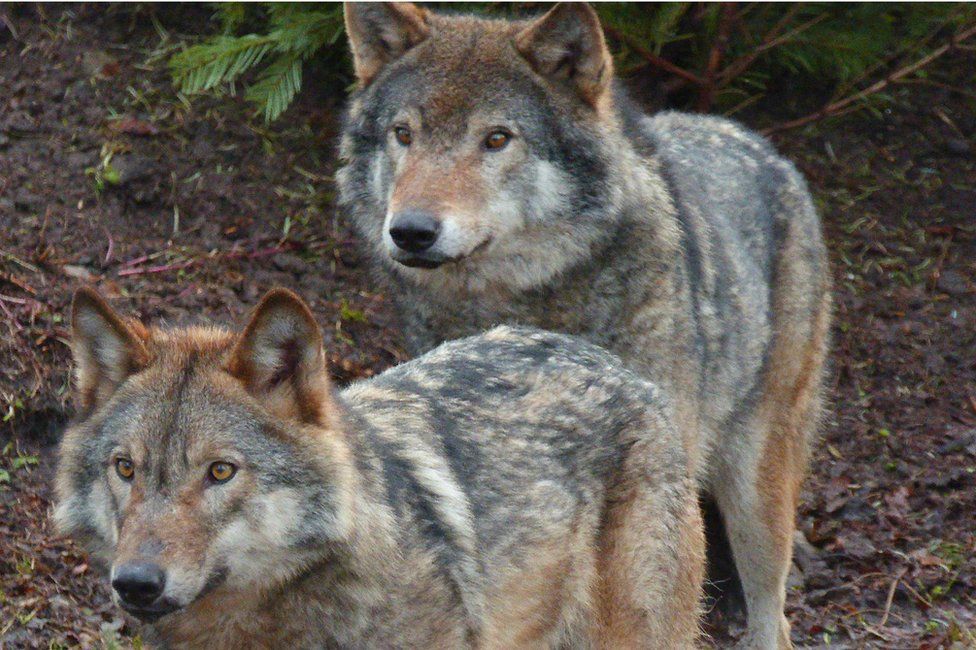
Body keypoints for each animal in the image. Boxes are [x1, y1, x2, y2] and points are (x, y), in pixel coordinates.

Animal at [338, 2, 832, 644]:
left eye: (497, 139)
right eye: (404, 134)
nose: (411, 231)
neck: (520, 305)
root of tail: (754, 139)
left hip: (755, 492)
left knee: (771, 610)